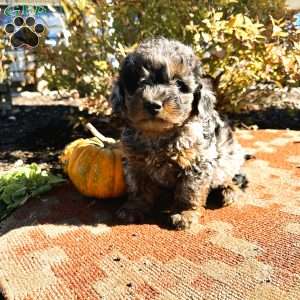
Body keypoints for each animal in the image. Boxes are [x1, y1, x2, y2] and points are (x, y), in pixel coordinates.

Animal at [111, 37, 247, 230]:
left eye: (179, 85)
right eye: (138, 83)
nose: (153, 104)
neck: (158, 134)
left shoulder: (197, 162)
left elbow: (189, 190)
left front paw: (184, 213)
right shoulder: (134, 161)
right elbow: (138, 186)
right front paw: (134, 207)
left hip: (228, 156)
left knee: (229, 176)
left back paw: (228, 190)